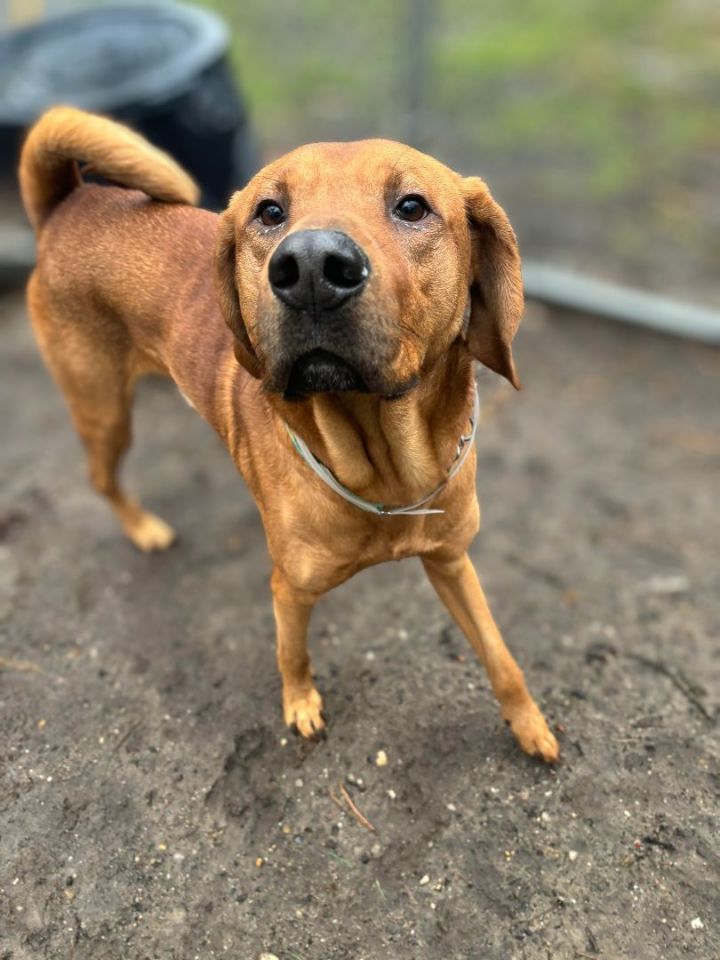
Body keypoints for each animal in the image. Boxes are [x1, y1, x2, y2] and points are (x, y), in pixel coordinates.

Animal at [16, 105, 556, 760]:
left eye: (412, 206)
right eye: (270, 212)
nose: (312, 270)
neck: (385, 473)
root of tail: (69, 202)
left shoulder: (451, 560)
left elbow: (500, 654)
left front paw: (529, 723)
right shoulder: (290, 590)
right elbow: (291, 653)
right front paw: (300, 704)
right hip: (104, 410)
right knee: (100, 478)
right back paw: (144, 528)